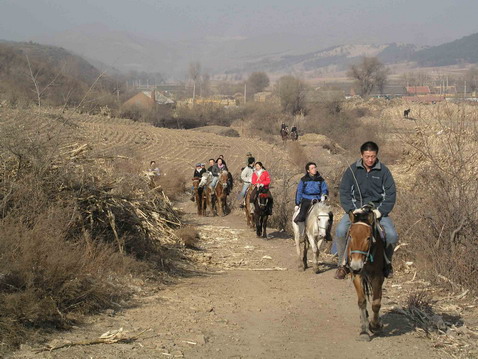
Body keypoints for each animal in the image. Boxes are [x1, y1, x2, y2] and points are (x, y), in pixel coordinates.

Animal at [346, 207, 386, 342]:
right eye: (350, 236)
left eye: (368, 238)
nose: (356, 265)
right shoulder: (356, 275)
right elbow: (362, 301)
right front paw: (364, 331)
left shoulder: (377, 276)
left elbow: (376, 303)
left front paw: (375, 325)